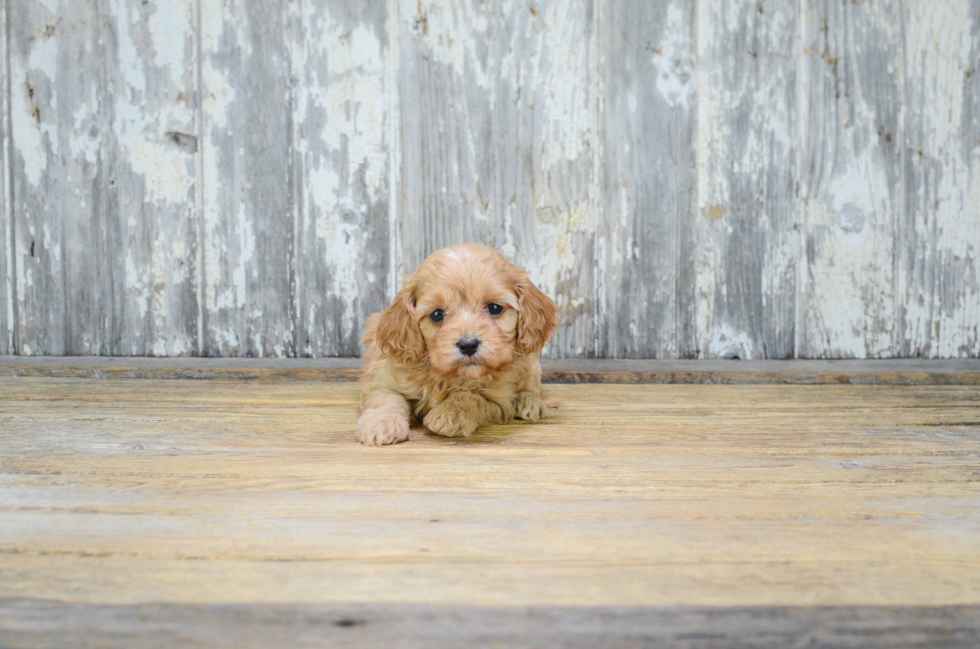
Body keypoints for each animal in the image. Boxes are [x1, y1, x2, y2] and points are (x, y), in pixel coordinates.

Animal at [358, 243, 560, 446]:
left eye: (494, 308)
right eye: (437, 314)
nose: (468, 345)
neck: (449, 376)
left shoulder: (500, 399)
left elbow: (471, 396)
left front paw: (449, 415)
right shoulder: (383, 376)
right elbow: (387, 398)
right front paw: (382, 423)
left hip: (531, 361)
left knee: (533, 386)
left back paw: (530, 402)